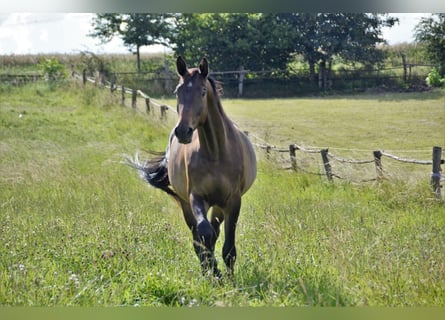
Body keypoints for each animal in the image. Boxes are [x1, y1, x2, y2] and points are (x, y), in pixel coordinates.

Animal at [126, 56, 255, 276]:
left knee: (215, 231)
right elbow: (204, 234)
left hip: (219, 205)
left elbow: (228, 248)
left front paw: (227, 277)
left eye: (203, 91)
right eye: (177, 91)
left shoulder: (233, 200)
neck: (216, 152)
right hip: (186, 202)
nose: (183, 131)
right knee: (200, 236)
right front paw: (214, 272)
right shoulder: (196, 196)